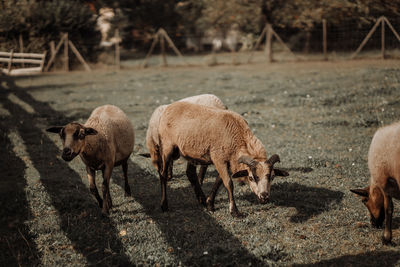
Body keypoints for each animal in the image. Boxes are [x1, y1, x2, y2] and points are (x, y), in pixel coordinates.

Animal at [155, 102, 288, 218]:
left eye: (272, 177)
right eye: (251, 177)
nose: (264, 197)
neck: (238, 138)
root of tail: (169, 107)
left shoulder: (227, 161)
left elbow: (219, 181)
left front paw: (209, 204)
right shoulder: (218, 158)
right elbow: (228, 183)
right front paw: (234, 211)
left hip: (190, 153)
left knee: (191, 173)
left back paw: (202, 200)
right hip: (167, 147)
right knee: (163, 173)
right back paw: (164, 205)